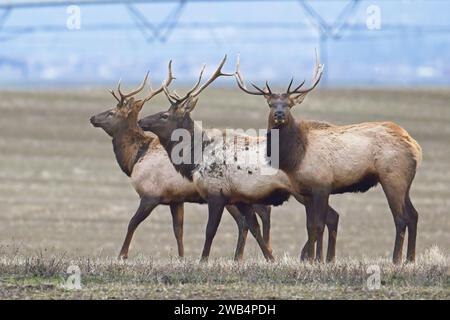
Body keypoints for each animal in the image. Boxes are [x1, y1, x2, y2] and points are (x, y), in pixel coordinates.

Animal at [89, 62, 268, 260]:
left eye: (111, 112)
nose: (92, 118)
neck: (134, 158)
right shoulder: (176, 199)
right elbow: (178, 231)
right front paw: (181, 258)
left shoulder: (150, 195)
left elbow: (132, 223)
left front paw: (122, 255)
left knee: (249, 220)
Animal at [138, 56, 342, 262]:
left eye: (164, 115)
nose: (140, 121)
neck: (195, 157)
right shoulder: (240, 198)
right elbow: (254, 228)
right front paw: (270, 258)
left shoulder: (217, 193)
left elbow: (210, 231)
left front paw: (203, 260)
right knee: (327, 218)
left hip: (308, 190)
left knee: (326, 219)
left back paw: (319, 258)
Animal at [236, 52, 422, 262]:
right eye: (270, 103)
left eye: (289, 104)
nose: (279, 114)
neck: (295, 157)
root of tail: (415, 145)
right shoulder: (305, 191)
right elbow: (310, 226)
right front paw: (314, 259)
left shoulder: (322, 186)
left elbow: (319, 225)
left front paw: (317, 259)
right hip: (405, 182)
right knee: (414, 215)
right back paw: (410, 259)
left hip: (393, 178)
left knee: (401, 218)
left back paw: (396, 259)